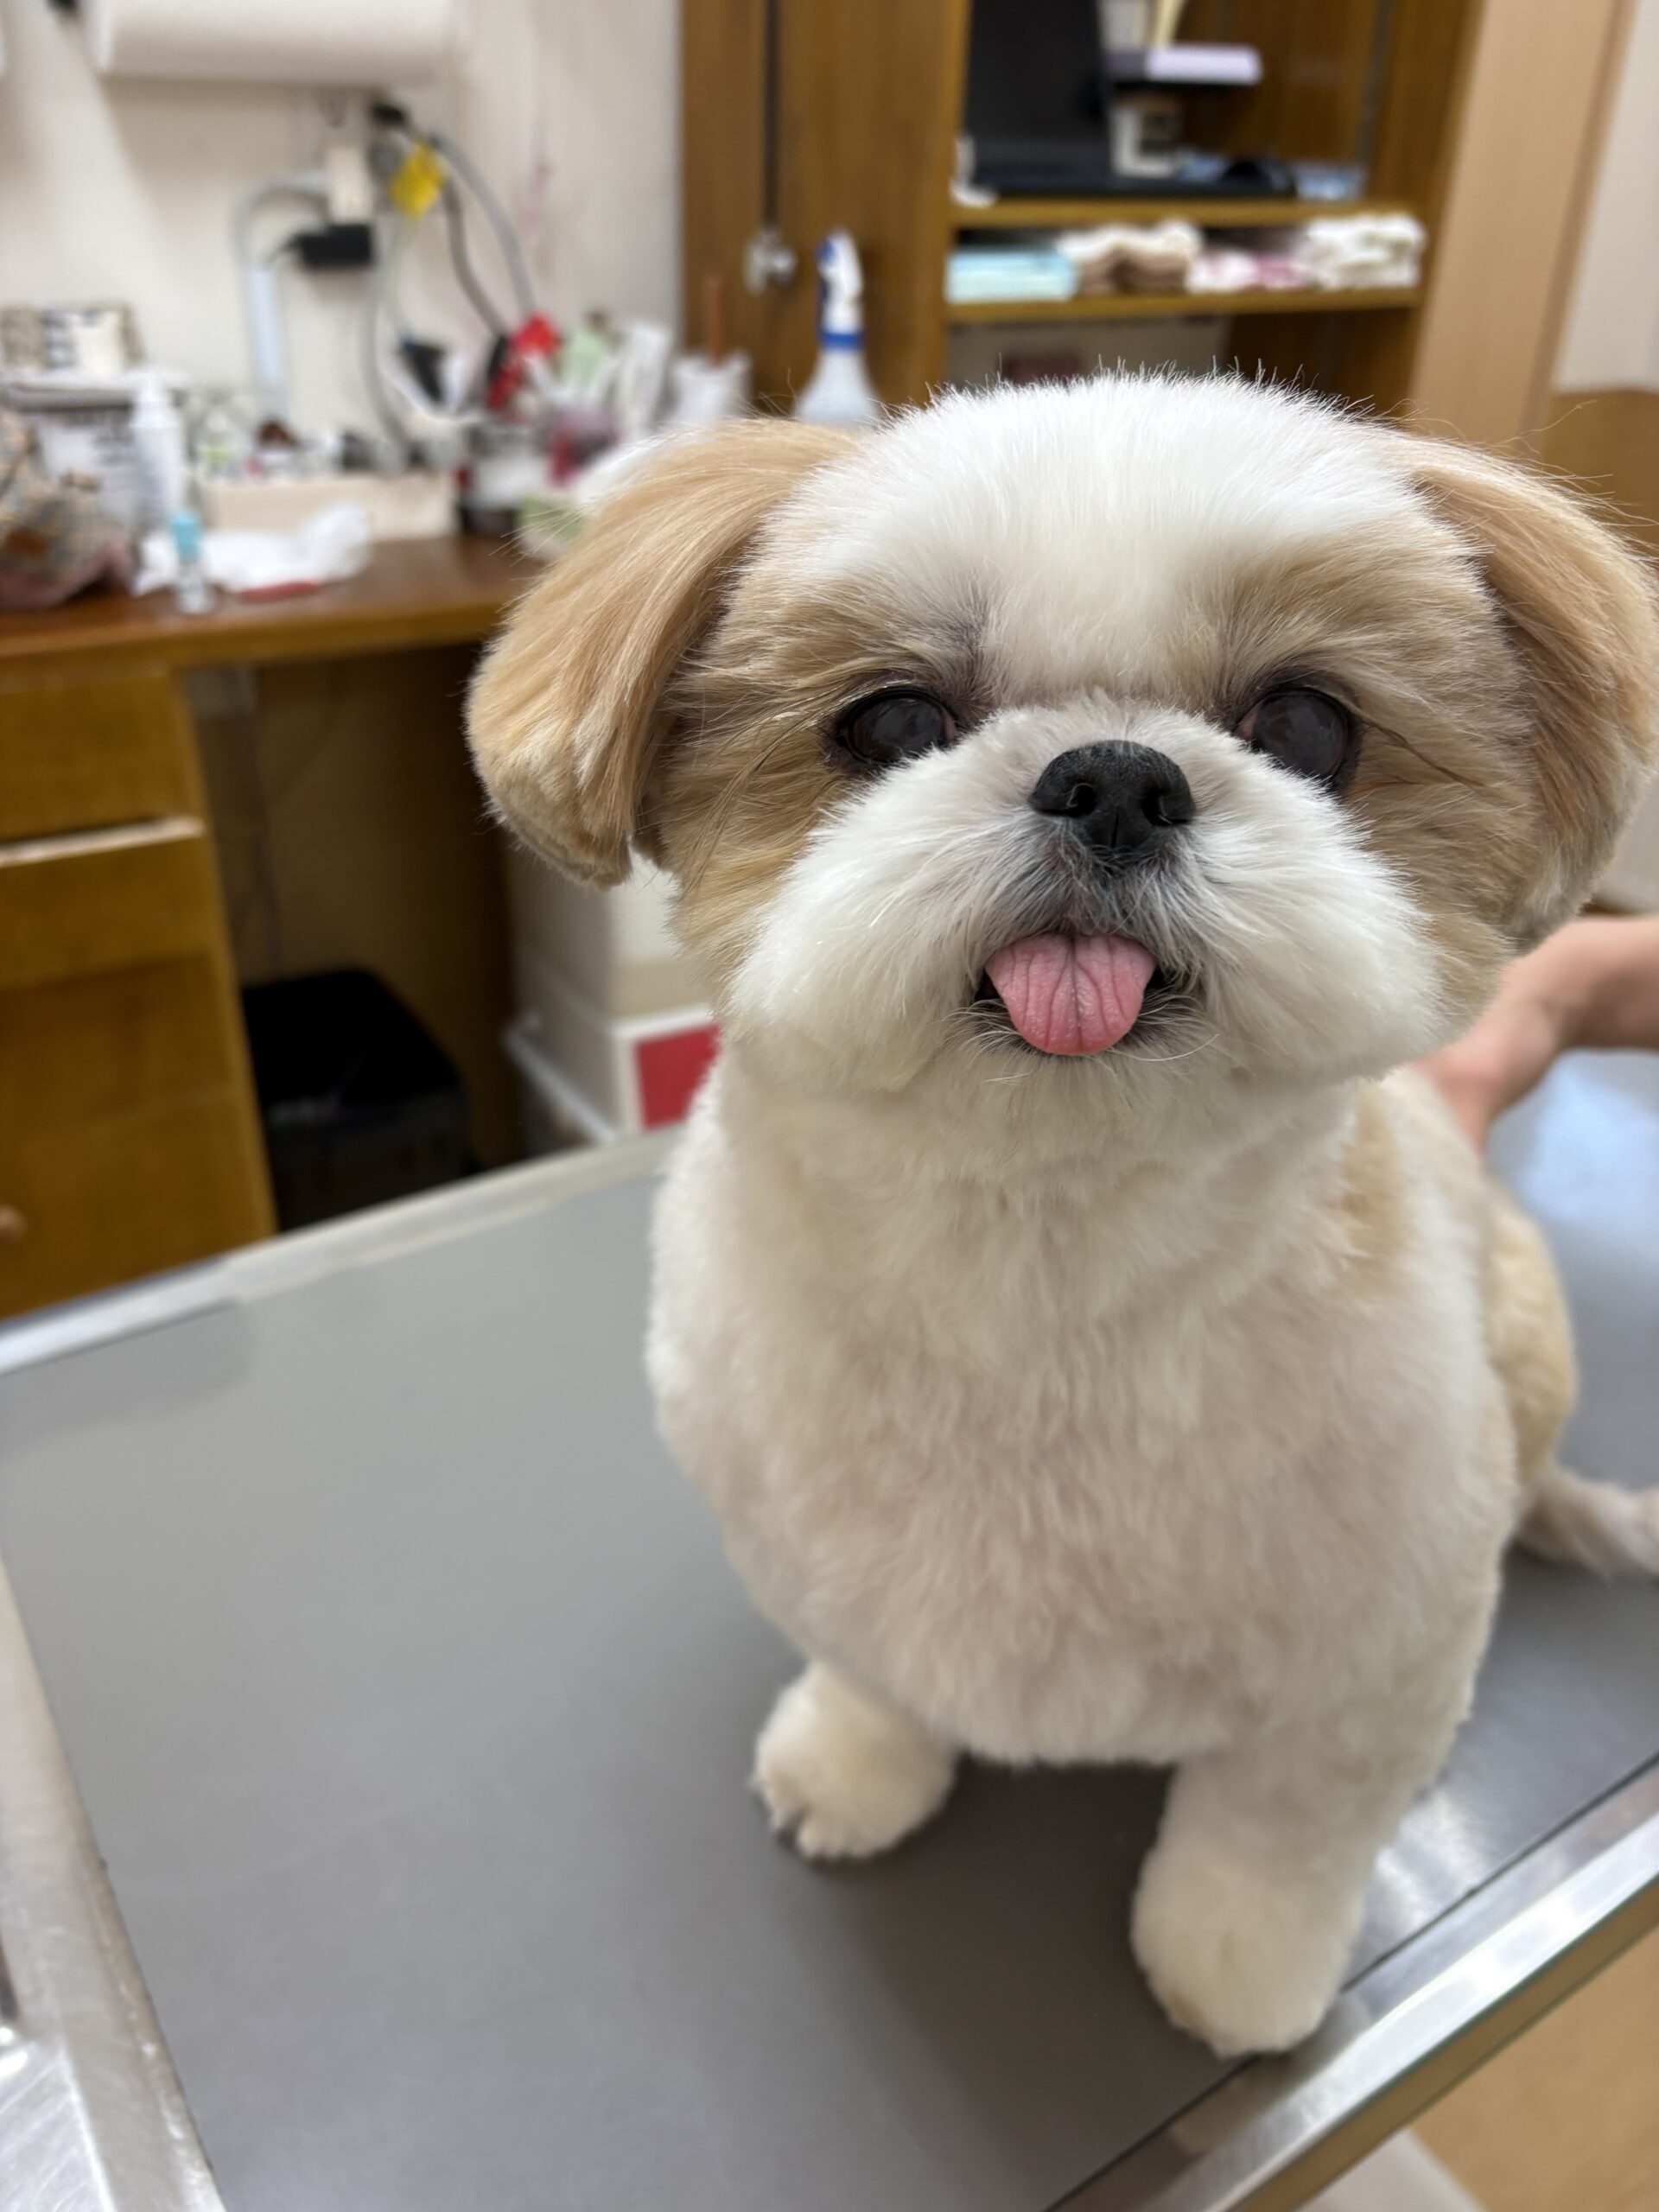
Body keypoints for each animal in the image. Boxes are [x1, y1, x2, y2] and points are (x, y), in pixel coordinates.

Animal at [469, 377, 1659, 2055]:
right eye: (892, 723)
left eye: (1307, 724)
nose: (1116, 778)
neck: (1041, 1269)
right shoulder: (818, 1561)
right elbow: (872, 1676)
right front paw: (855, 1767)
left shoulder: (1364, 1665)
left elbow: (1273, 1839)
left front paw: (1234, 1970)